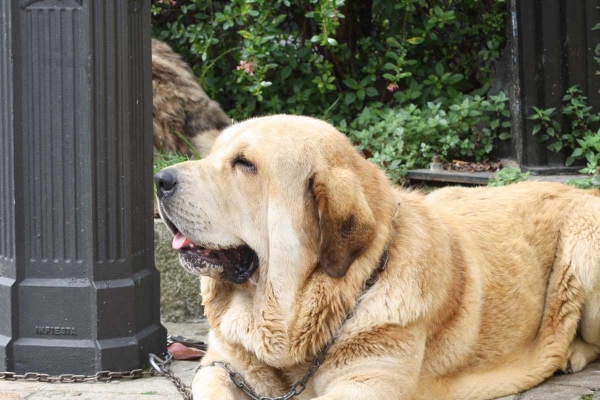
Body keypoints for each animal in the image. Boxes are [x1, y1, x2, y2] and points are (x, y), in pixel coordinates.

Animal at [155, 114, 600, 398]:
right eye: (214, 154)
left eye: (245, 164)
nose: (160, 179)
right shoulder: (218, 366)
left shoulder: (367, 381)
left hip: (585, 242)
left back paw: (570, 353)